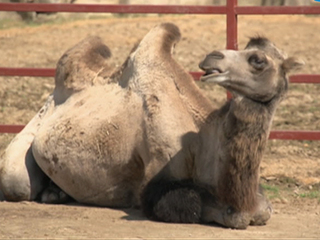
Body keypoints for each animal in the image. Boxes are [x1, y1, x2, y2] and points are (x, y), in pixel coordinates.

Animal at [0, 23, 302, 230]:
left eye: (258, 60)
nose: (211, 58)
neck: (202, 141)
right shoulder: (154, 175)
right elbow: (189, 205)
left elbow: (263, 209)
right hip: (22, 158)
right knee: (18, 184)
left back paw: (56, 193)